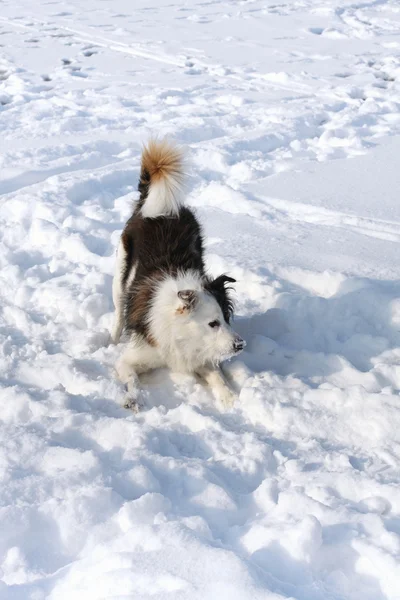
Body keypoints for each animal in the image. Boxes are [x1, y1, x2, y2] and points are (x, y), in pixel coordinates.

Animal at [111, 138, 245, 410]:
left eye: (226, 318)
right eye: (213, 323)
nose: (240, 345)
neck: (181, 333)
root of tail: (158, 208)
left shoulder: (199, 355)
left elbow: (216, 376)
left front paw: (229, 398)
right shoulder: (132, 358)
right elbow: (131, 377)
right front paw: (133, 398)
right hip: (119, 274)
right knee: (119, 311)